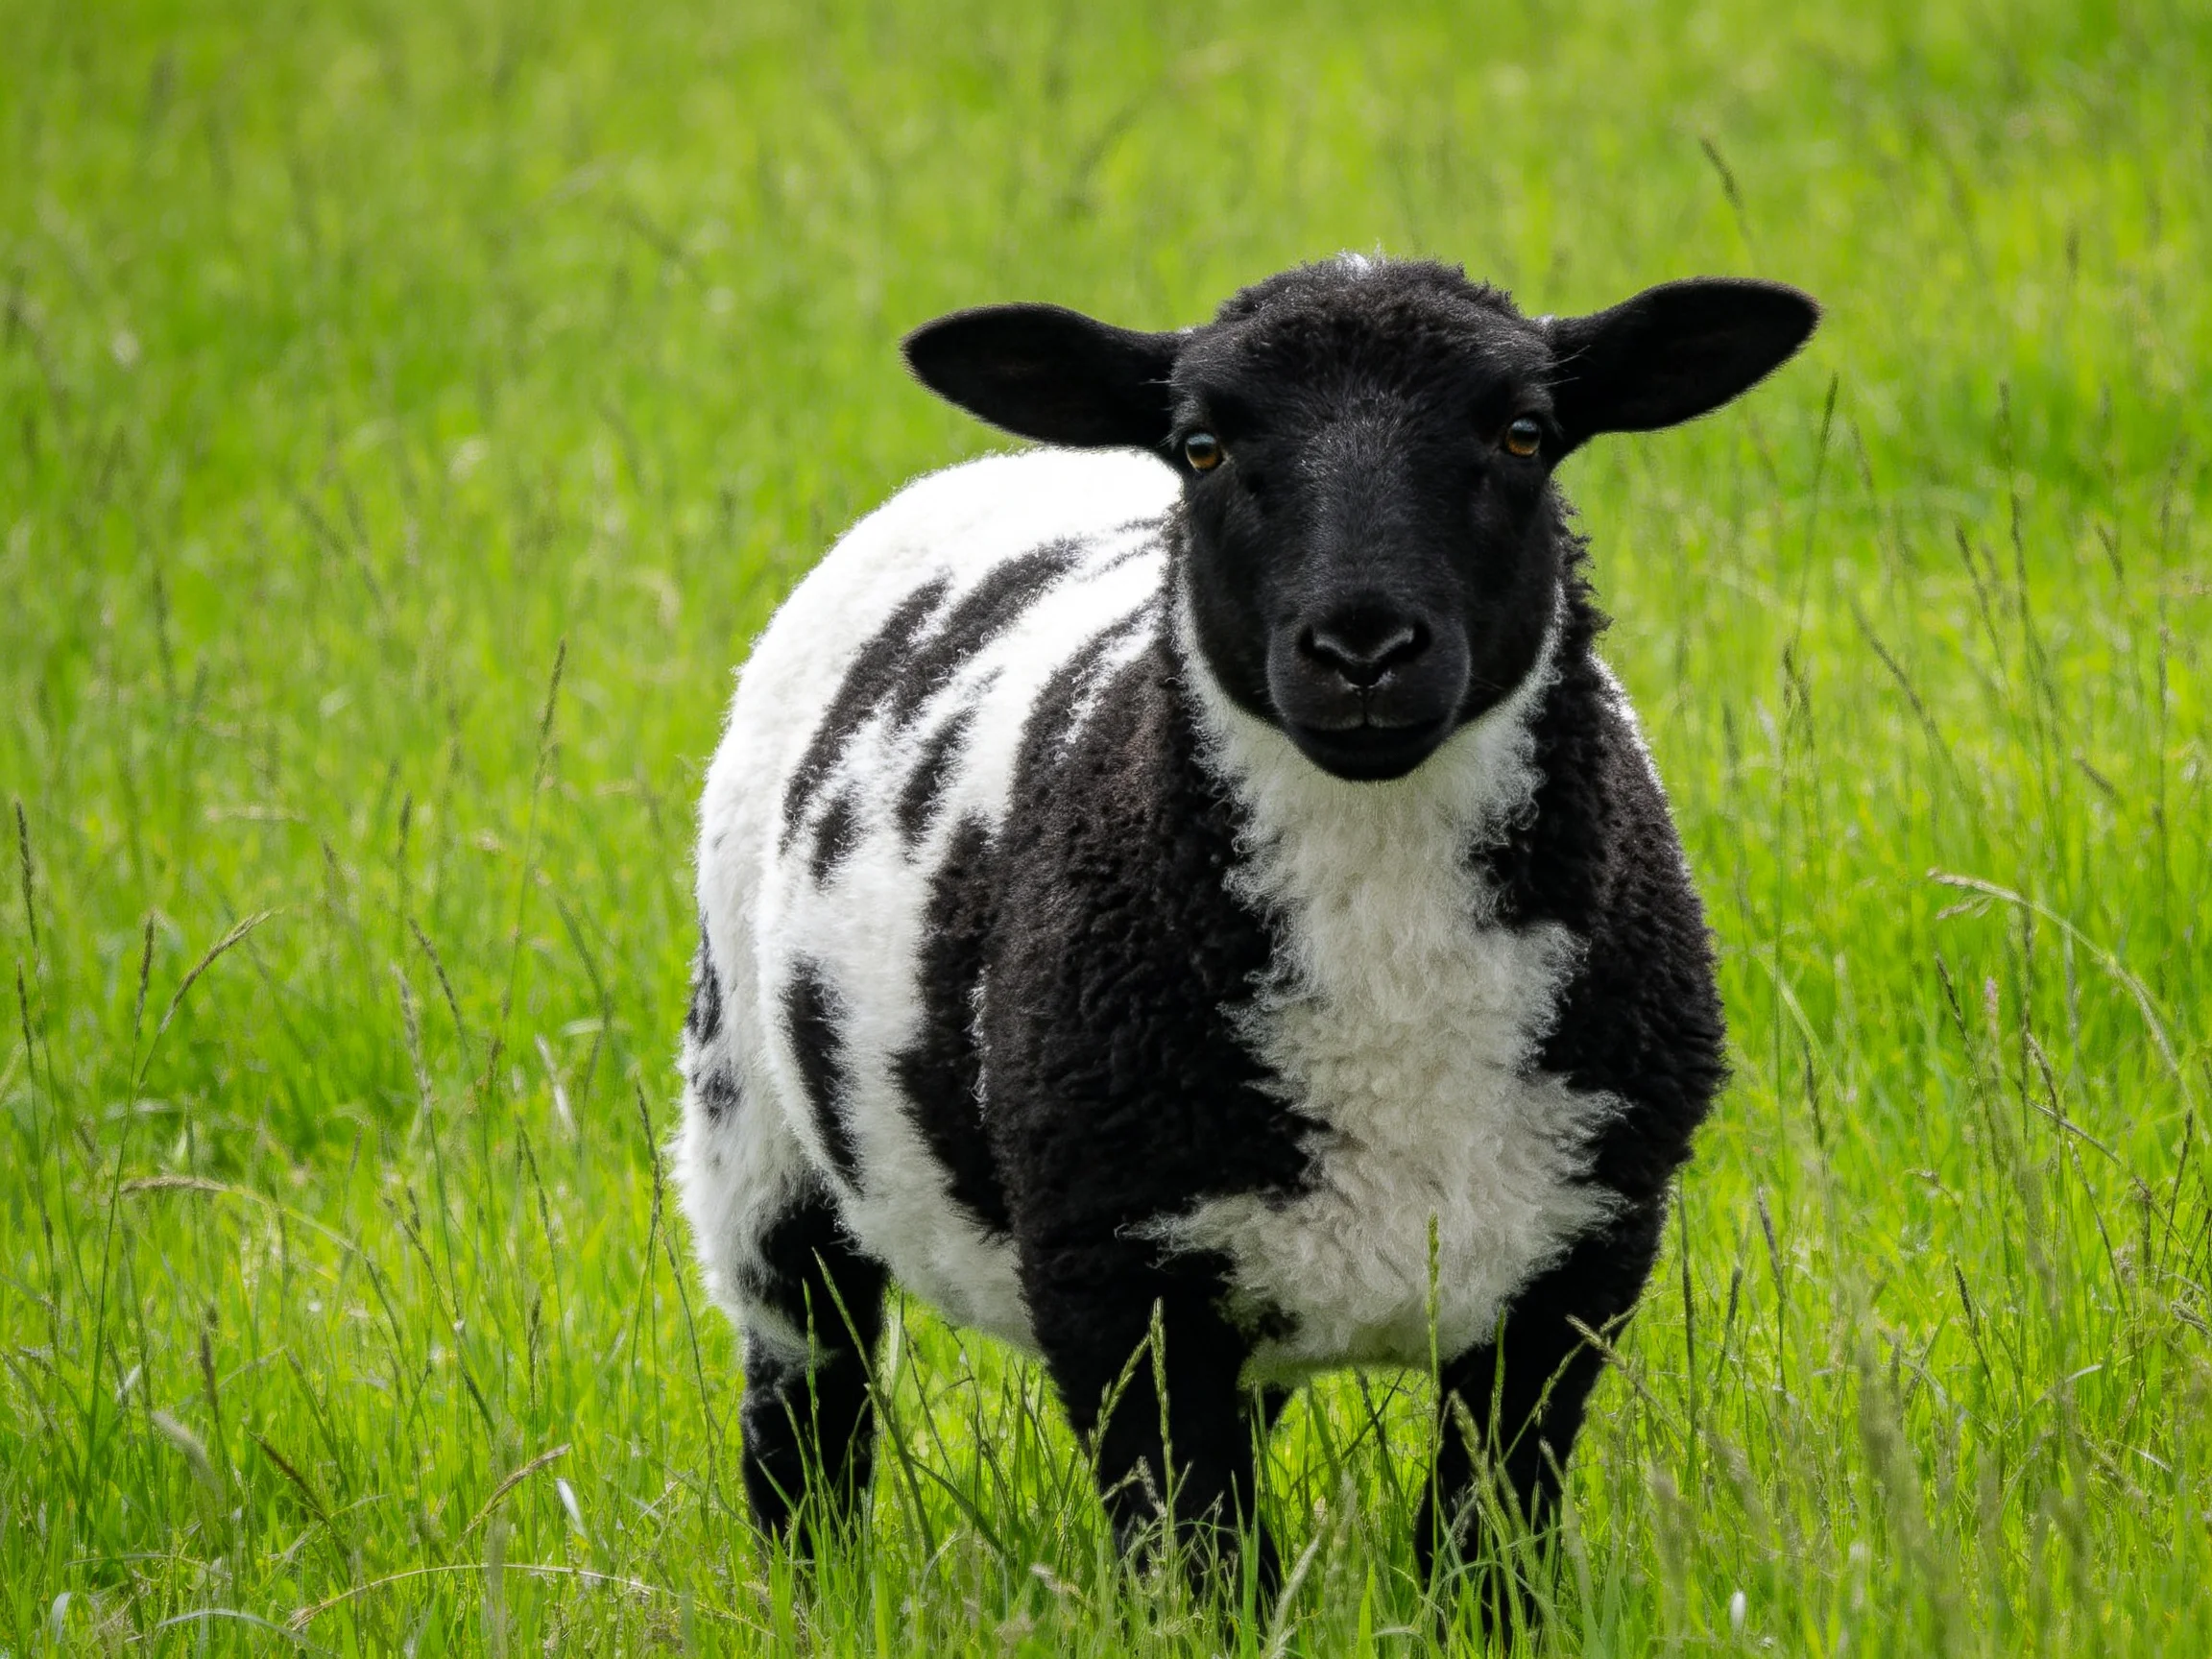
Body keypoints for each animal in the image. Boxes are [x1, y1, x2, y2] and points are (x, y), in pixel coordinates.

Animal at [673, 255, 1818, 1587]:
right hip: (752, 1130)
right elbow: (1201, 1572)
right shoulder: (1111, 1276)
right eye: (1205, 446)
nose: (1362, 646)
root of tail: (1009, 464)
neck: (1388, 973)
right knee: (804, 1420)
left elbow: (1478, 1552)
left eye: (1526, 433)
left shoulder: (1578, 1264)